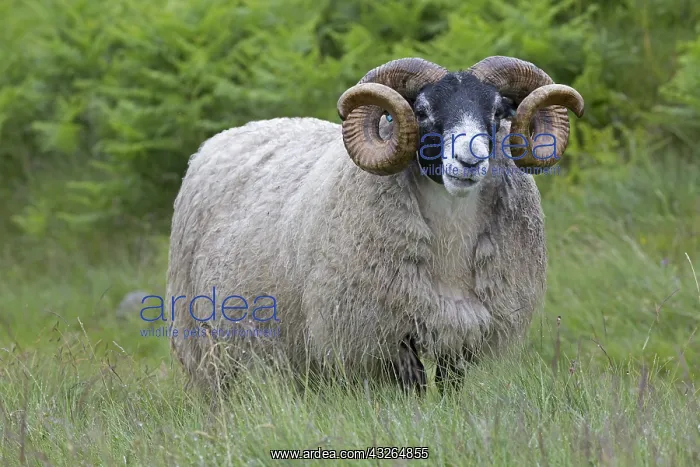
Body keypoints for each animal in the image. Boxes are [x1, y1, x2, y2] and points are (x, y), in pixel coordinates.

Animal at [166, 55, 584, 395]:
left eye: (498, 111)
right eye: (422, 110)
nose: (470, 160)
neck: (450, 240)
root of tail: (224, 137)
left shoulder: (462, 328)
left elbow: (450, 388)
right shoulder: (386, 331)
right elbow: (414, 389)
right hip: (210, 344)